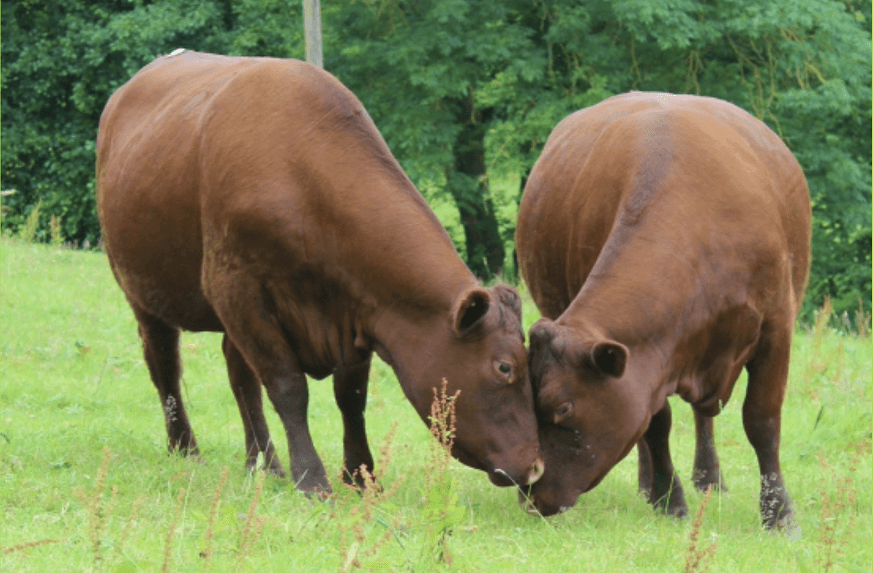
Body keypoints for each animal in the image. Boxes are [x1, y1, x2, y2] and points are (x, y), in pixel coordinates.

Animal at [95, 50, 544, 494]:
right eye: (504, 367)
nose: (536, 467)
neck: (303, 181)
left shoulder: (358, 308)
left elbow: (351, 395)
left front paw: (360, 475)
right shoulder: (239, 289)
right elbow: (288, 386)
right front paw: (311, 477)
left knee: (239, 376)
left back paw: (263, 464)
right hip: (142, 289)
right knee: (165, 364)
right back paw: (186, 449)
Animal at [515, 92, 810, 532]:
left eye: (563, 407)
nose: (529, 492)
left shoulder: (777, 326)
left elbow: (762, 420)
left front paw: (778, 514)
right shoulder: (646, 358)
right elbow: (655, 424)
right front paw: (669, 499)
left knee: (706, 418)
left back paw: (709, 477)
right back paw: (649, 484)